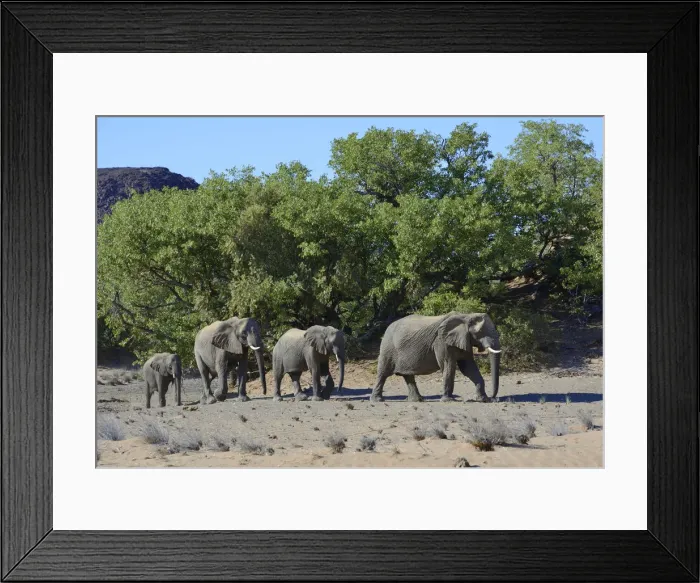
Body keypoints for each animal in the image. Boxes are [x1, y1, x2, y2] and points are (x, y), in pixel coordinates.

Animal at [370, 311, 501, 403]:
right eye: (480, 332)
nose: (494, 398)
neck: (466, 316)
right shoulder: (441, 341)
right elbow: (448, 365)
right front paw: (448, 401)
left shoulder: (465, 340)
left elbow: (468, 368)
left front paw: (483, 400)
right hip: (388, 347)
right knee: (383, 373)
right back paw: (377, 400)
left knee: (408, 376)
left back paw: (417, 400)